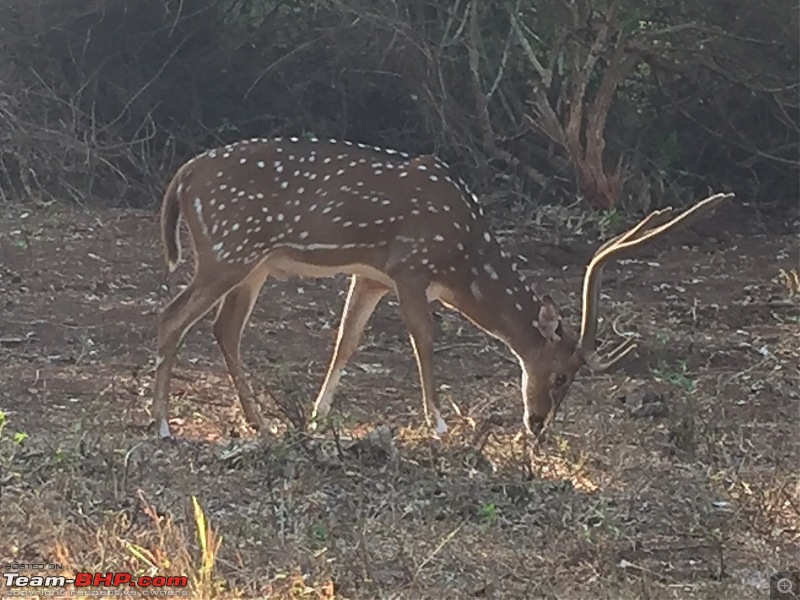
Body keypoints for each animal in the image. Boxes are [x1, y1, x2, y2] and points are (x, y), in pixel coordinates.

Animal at [150, 134, 732, 438]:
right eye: (563, 374)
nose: (537, 424)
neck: (462, 264)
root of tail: (182, 176)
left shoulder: (371, 274)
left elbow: (347, 340)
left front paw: (317, 415)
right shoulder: (412, 265)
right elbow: (424, 340)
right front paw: (438, 424)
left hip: (253, 264)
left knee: (224, 328)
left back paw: (260, 424)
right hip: (228, 251)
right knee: (172, 316)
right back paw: (162, 425)